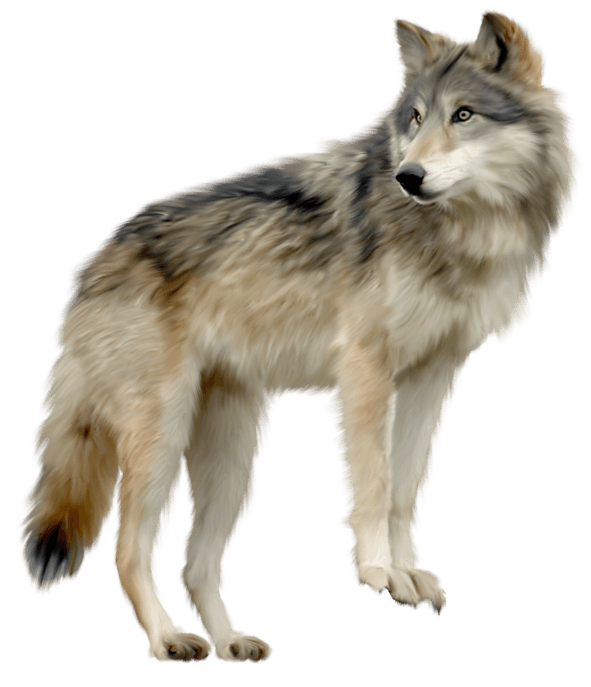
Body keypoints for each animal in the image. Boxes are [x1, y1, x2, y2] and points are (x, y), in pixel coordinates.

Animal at [18, 10, 582, 663]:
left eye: (463, 115)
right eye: (416, 119)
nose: (409, 175)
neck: (459, 230)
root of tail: (90, 262)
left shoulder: (434, 375)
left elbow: (404, 488)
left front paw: (409, 573)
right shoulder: (365, 370)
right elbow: (372, 483)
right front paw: (380, 572)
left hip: (235, 459)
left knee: (194, 563)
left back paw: (229, 641)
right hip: (161, 438)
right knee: (130, 549)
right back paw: (169, 639)